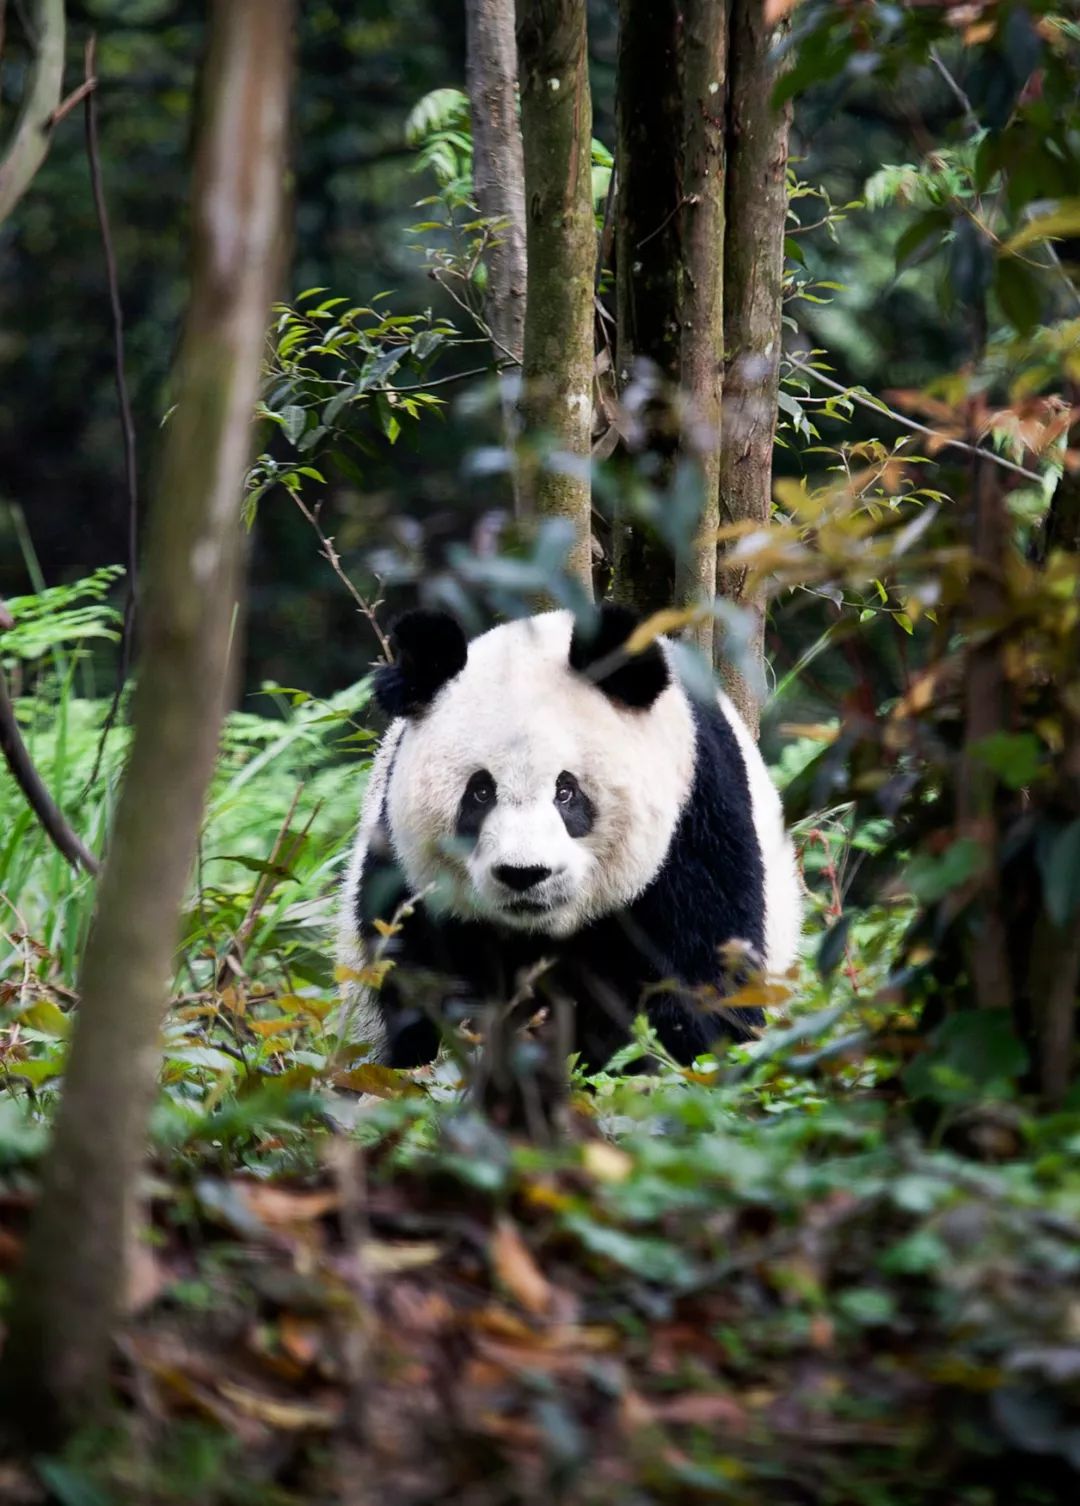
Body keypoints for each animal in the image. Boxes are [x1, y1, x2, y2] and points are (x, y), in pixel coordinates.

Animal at [337, 599, 801, 1072]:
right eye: (480, 792)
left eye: (566, 791)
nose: (524, 873)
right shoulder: (400, 869)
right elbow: (410, 979)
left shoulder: (698, 822)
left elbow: (705, 983)